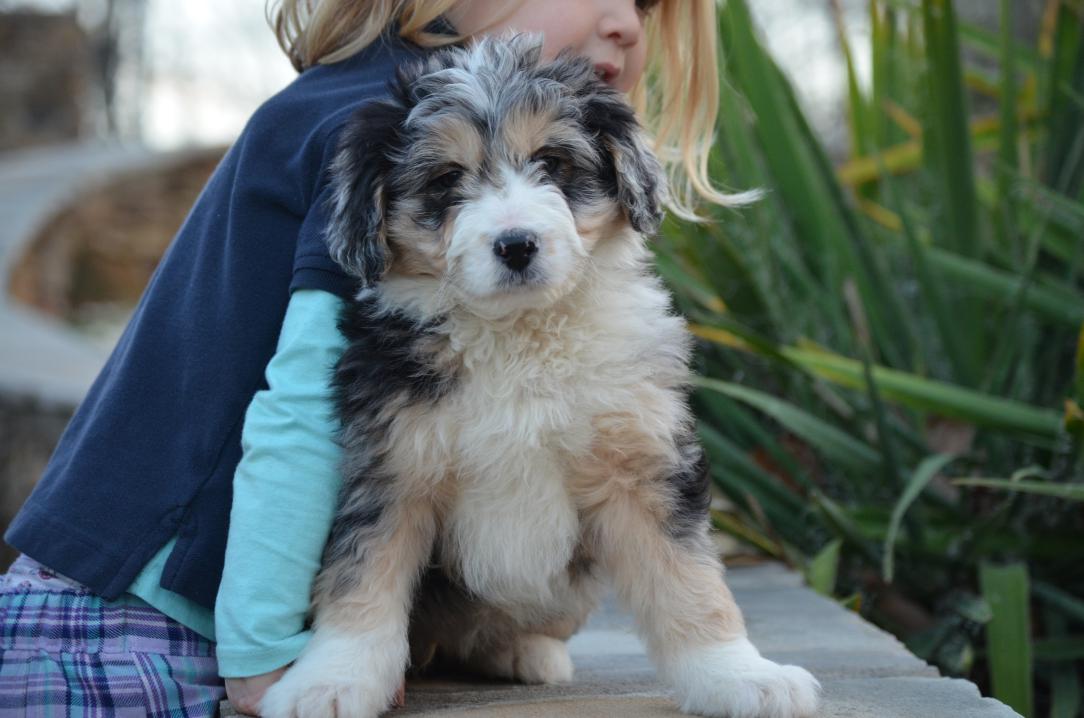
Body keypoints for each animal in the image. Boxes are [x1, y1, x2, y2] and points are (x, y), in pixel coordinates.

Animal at [260, 36, 819, 718]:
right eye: (446, 180)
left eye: (551, 163)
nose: (516, 244)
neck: (520, 335)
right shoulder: (389, 466)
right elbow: (360, 580)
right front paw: (328, 683)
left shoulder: (643, 458)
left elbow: (688, 579)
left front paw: (741, 677)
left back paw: (529, 654)